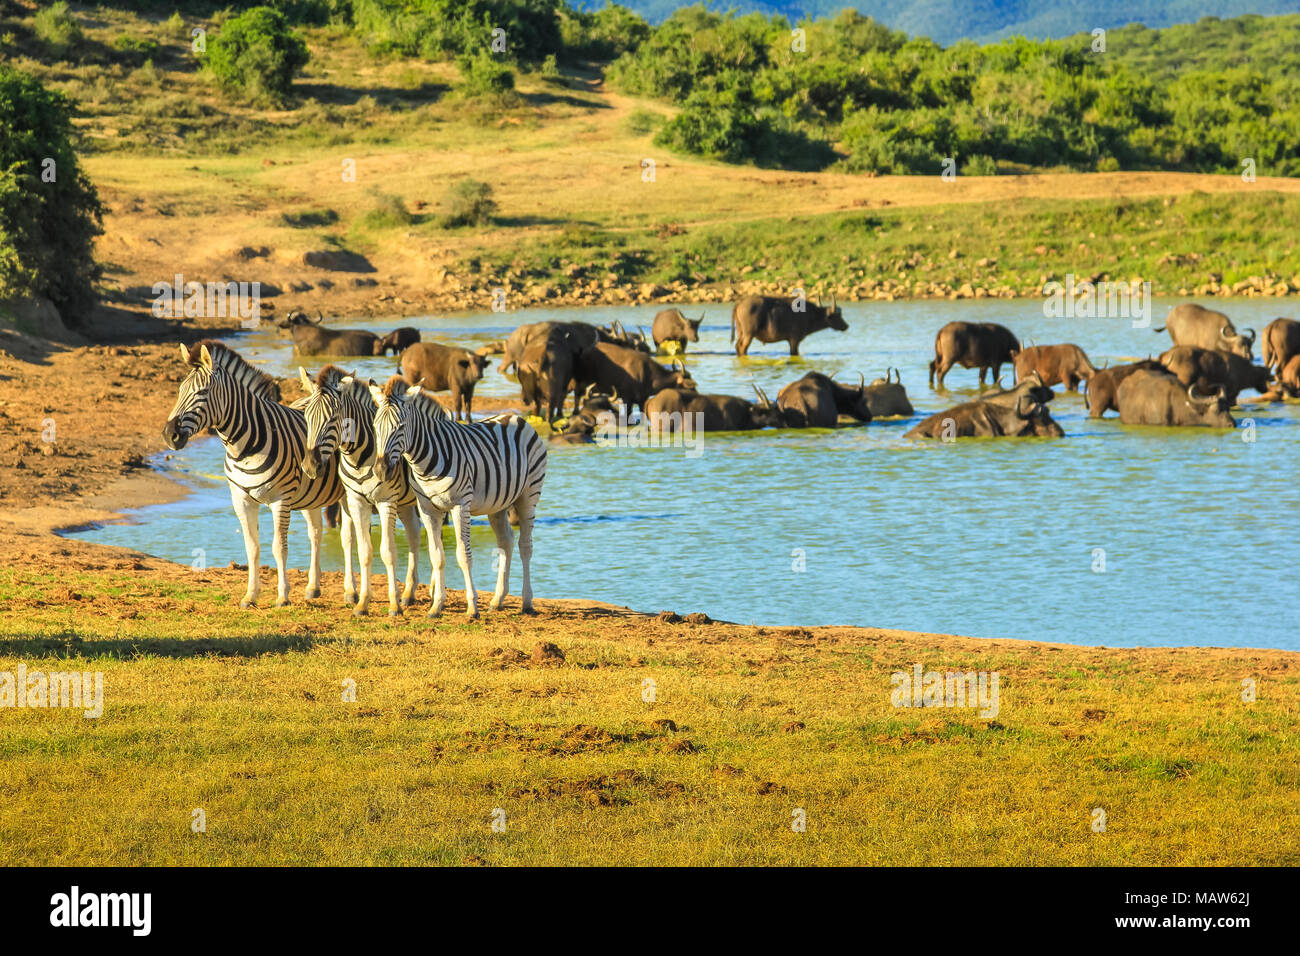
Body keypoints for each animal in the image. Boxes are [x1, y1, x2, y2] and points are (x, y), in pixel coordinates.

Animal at [162, 343, 343, 606]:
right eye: (179, 391)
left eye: (203, 392)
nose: (169, 435)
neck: (244, 446)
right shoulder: (241, 498)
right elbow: (252, 547)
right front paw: (250, 595)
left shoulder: (281, 499)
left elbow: (279, 547)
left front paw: (282, 596)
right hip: (311, 495)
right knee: (316, 533)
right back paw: (313, 587)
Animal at [299, 361, 431, 616]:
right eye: (307, 417)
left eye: (333, 418)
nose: (310, 466)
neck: (359, 457)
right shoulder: (357, 500)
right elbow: (364, 550)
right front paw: (362, 602)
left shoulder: (386, 501)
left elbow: (388, 552)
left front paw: (393, 605)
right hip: (405, 503)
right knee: (414, 535)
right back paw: (409, 593)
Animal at [369, 374, 546, 621]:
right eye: (375, 427)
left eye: (401, 427)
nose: (380, 470)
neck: (424, 463)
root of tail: (515, 417)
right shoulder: (427, 508)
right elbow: (436, 555)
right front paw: (436, 606)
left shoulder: (460, 505)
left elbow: (463, 555)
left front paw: (472, 608)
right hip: (498, 504)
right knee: (506, 542)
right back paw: (497, 600)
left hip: (529, 494)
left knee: (525, 546)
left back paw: (527, 603)